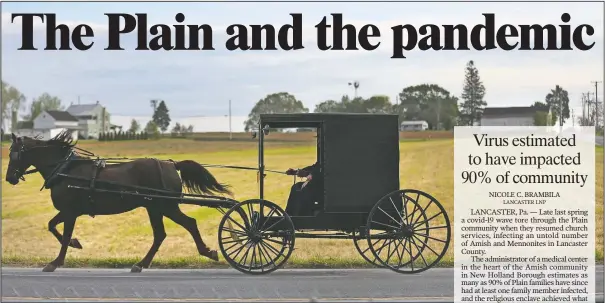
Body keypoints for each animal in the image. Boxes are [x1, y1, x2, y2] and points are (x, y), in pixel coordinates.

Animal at [3, 132, 232, 274]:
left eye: (14, 154)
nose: (9, 178)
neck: (65, 169)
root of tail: (171, 164)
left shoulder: (70, 211)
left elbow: (63, 234)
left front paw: (56, 262)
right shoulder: (69, 212)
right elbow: (52, 226)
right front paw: (75, 244)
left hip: (165, 206)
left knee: (189, 224)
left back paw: (207, 252)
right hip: (154, 207)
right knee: (161, 235)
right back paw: (142, 263)